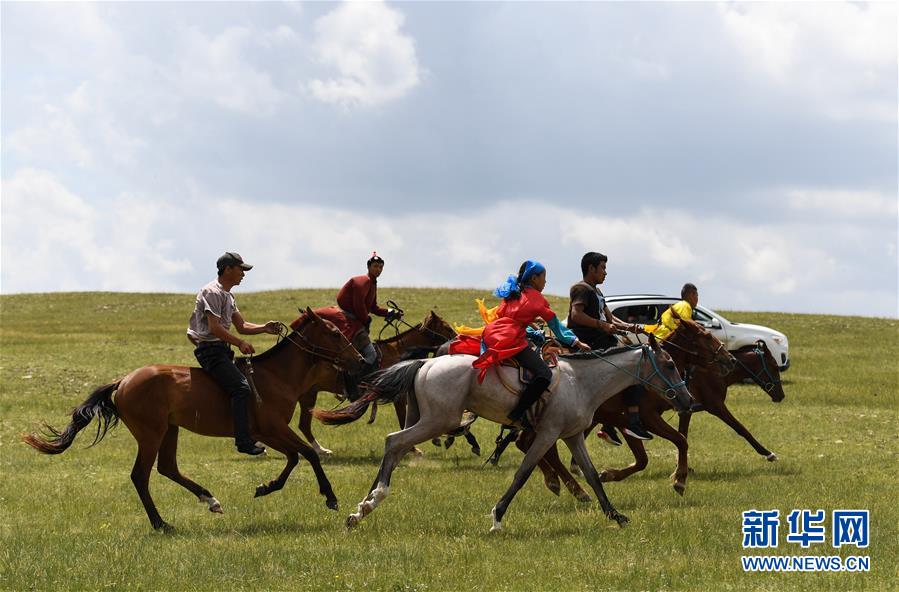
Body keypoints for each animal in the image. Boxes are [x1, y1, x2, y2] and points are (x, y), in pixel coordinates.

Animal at [23, 310, 362, 532]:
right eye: (335, 332)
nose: (359, 360)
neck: (276, 376)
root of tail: (123, 381)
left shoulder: (269, 432)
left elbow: (294, 456)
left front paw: (266, 487)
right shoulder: (272, 429)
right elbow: (306, 454)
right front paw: (330, 497)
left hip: (170, 430)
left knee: (167, 468)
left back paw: (210, 500)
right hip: (151, 433)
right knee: (140, 476)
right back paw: (161, 524)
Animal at [298, 312, 458, 456]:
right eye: (447, 328)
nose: (457, 340)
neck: (398, 353)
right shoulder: (399, 398)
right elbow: (404, 421)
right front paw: (414, 449)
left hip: (308, 395)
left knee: (303, 425)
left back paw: (319, 450)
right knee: (304, 425)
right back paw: (320, 450)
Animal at [316, 338, 696, 532]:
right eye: (670, 365)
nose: (687, 400)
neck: (581, 381)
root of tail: (426, 363)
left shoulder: (573, 436)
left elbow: (591, 475)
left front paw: (615, 515)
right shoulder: (547, 435)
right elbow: (523, 474)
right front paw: (497, 517)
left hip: (425, 419)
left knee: (394, 449)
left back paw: (363, 507)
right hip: (438, 421)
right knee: (393, 441)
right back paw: (370, 502)